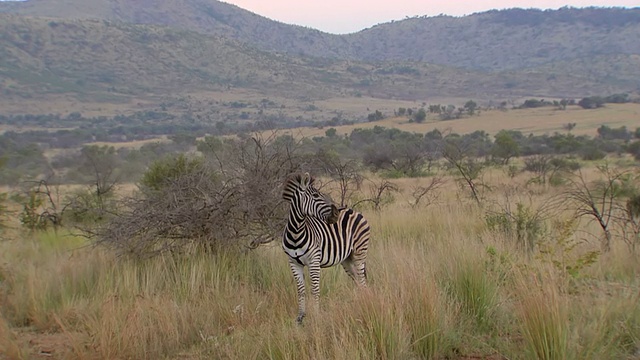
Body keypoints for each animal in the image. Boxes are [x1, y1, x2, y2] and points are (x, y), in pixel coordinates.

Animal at [280, 172, 370, 324]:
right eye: (316, 196)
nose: (336, 214)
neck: (296, 233)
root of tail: (352, 210)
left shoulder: (314, 261)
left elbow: (315, 290)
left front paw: (316, 317)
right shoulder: (293, 263)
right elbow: (301, 290)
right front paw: (300, 317)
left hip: (359, 253)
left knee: (362, 281)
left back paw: (365, 304)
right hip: (347, 259)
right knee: (357, 280)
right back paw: (359, 303)